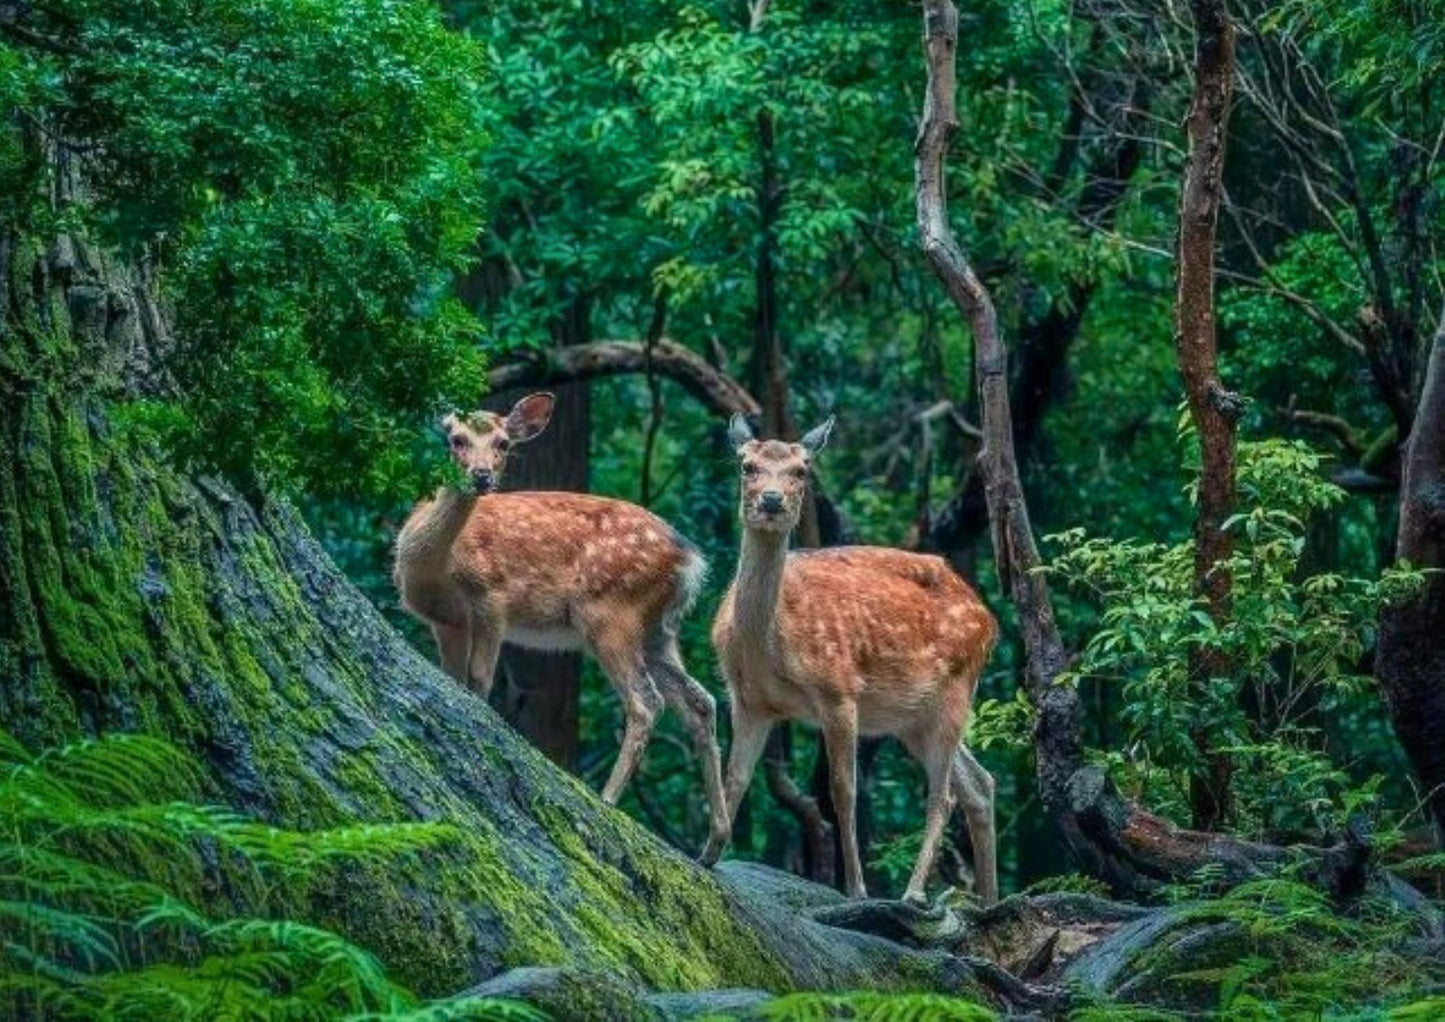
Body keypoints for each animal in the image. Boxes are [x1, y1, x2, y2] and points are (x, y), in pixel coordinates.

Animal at [393, 393, 728, 855]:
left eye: (502, 444)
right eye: (456, 438)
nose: (481, 476)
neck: (434, 567)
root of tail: (691, 561)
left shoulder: (493, 600)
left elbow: (479, 680)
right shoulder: (445, 621)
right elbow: (453, 678)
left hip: (610, 612)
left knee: (646, 701)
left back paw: (608, 798)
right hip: (660, 632)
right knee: (701, 702)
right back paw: (714, 843)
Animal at [702, 413, 999, 902]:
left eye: (802, 470)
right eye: (746, 465)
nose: (771, 500)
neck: (768, 645)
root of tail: (989, 619)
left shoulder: (838, 689)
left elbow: (842, 791)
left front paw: (857, 889)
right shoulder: (749, 700)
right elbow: (737, 777)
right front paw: (708, 853)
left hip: (958, 688)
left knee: (944, 795)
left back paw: (914, 893)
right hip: (913, 719)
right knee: (980, 783)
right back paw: (990, 901)